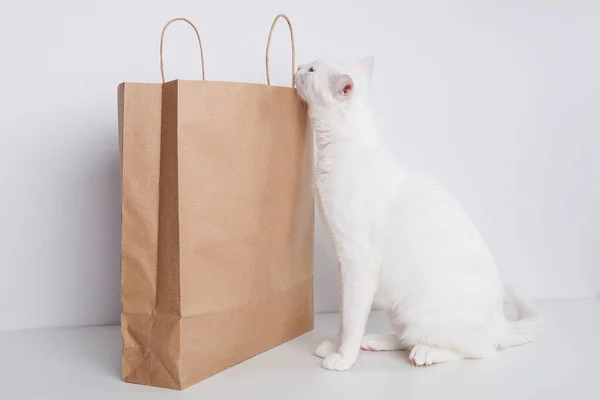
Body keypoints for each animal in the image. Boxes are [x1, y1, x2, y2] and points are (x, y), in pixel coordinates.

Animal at [292, 57, 540, 370]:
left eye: (312, 70)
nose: (298, 66)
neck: (337, 151)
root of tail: (501, 322)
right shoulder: (343, 263)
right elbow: (343, 316)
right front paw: (334, 346)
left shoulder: (358, 262)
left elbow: (351, 320)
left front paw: (344, 357)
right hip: (400, 307)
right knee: (407, 336)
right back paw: (378, 341)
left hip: (425, 309)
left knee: (481, 349)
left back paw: (426, 353)